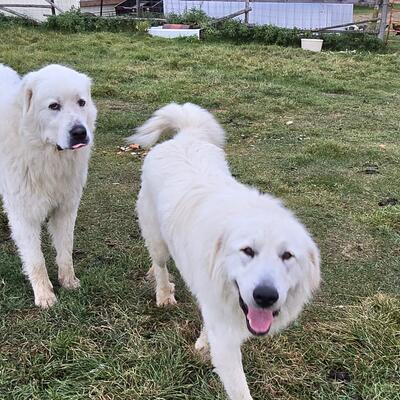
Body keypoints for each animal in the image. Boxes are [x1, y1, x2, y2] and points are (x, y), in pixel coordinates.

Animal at [0, 64, 97, 308]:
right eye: (54, 106)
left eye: (81, 102)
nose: (80, 132)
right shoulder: (24, 216)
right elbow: (36, 260)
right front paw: (44, 294)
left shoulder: (66, 208)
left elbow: (65, 250)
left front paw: (68, 282)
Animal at [128, 103, 321, 399]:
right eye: (247, 251)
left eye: (287, 256)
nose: (265, 296)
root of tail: (186, 136)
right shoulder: (226, 337)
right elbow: (240, 390)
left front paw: (202, 344)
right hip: (157, 238)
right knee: (160, 264)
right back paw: (163, 293)